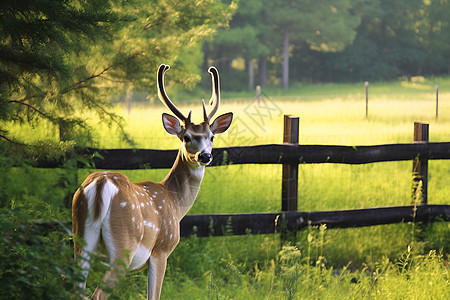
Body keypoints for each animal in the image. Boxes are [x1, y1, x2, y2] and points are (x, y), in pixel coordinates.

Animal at [72, 64, 234, 298]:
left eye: (211, 136)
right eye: (186, 137)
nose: (204, 156)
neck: (175, 204)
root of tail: (101, 184)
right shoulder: (162, 249)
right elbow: (154, 295)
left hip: (80, 238)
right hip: (124, 243)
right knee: (97, 293)